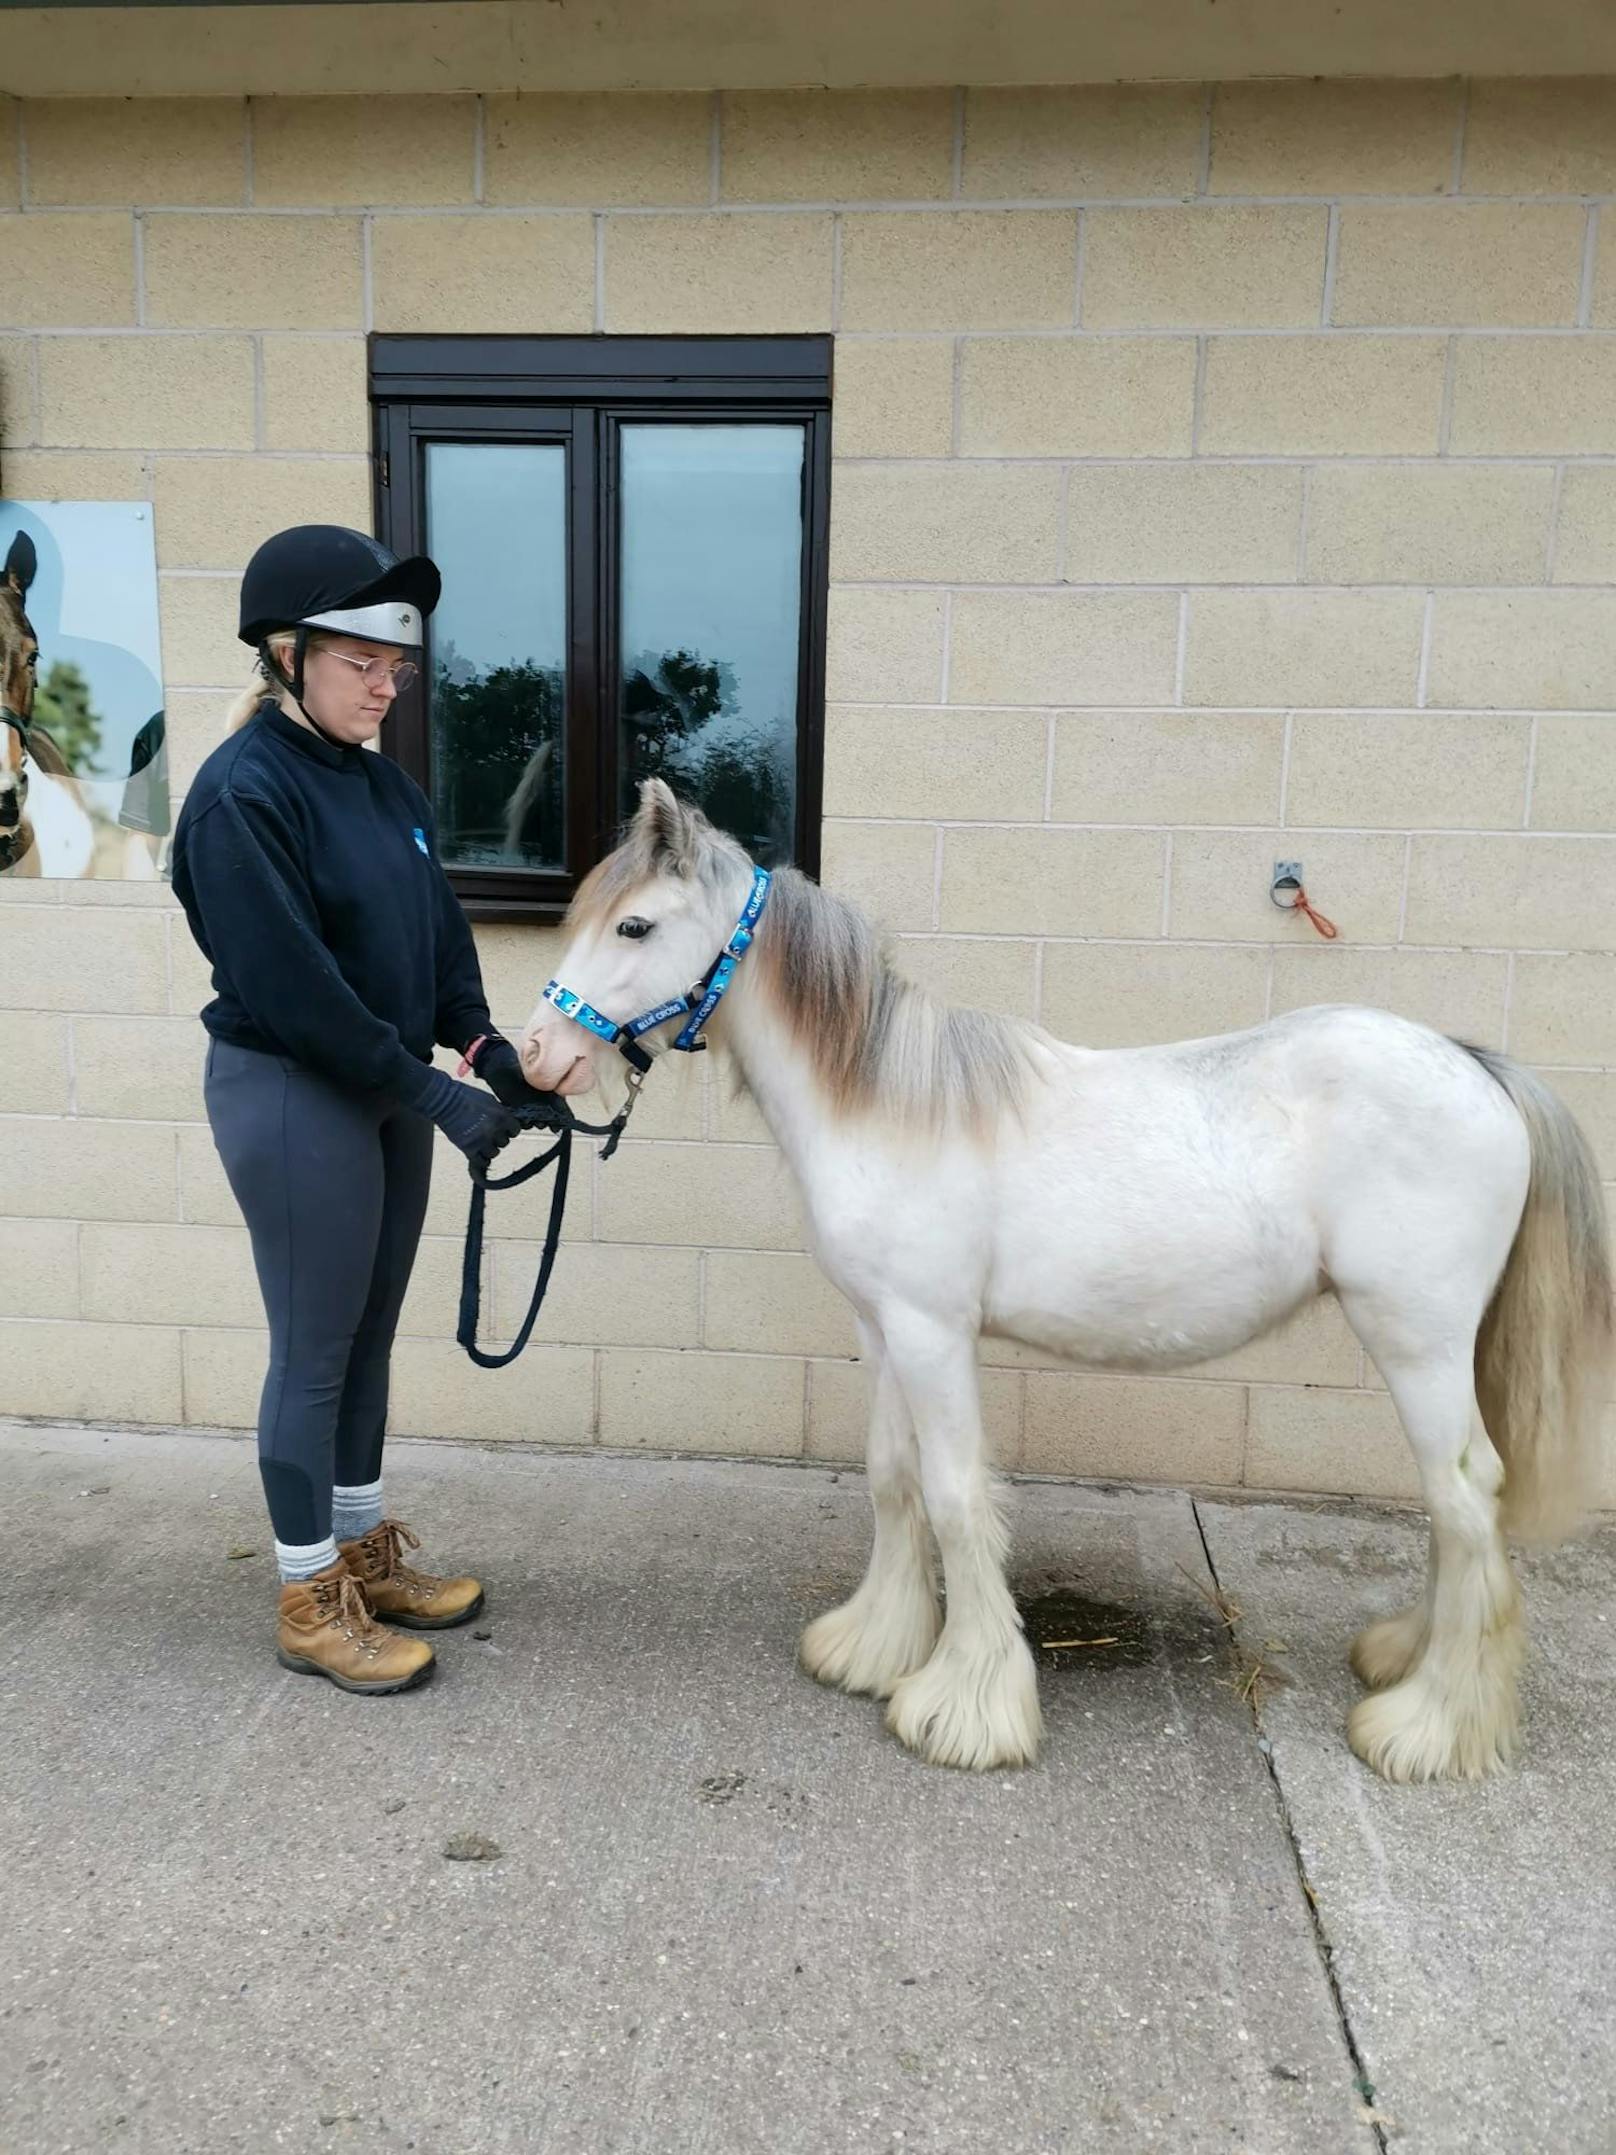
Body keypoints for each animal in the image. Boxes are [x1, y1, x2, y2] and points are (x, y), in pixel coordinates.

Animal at [525, 784, 1611, 1775]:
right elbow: (891, 1477)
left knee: (1463, 1494)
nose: (538, 1055)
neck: (884, 1104)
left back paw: (1427, 1726)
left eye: (633, 923)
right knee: (1459, 1502)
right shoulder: (885, 1330)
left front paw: (964, 1710)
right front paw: (873, 1647)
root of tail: (1478, 1068)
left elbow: (955, 1495)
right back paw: (1405, 1659)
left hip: (1417, 1343)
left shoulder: (932, 1332)